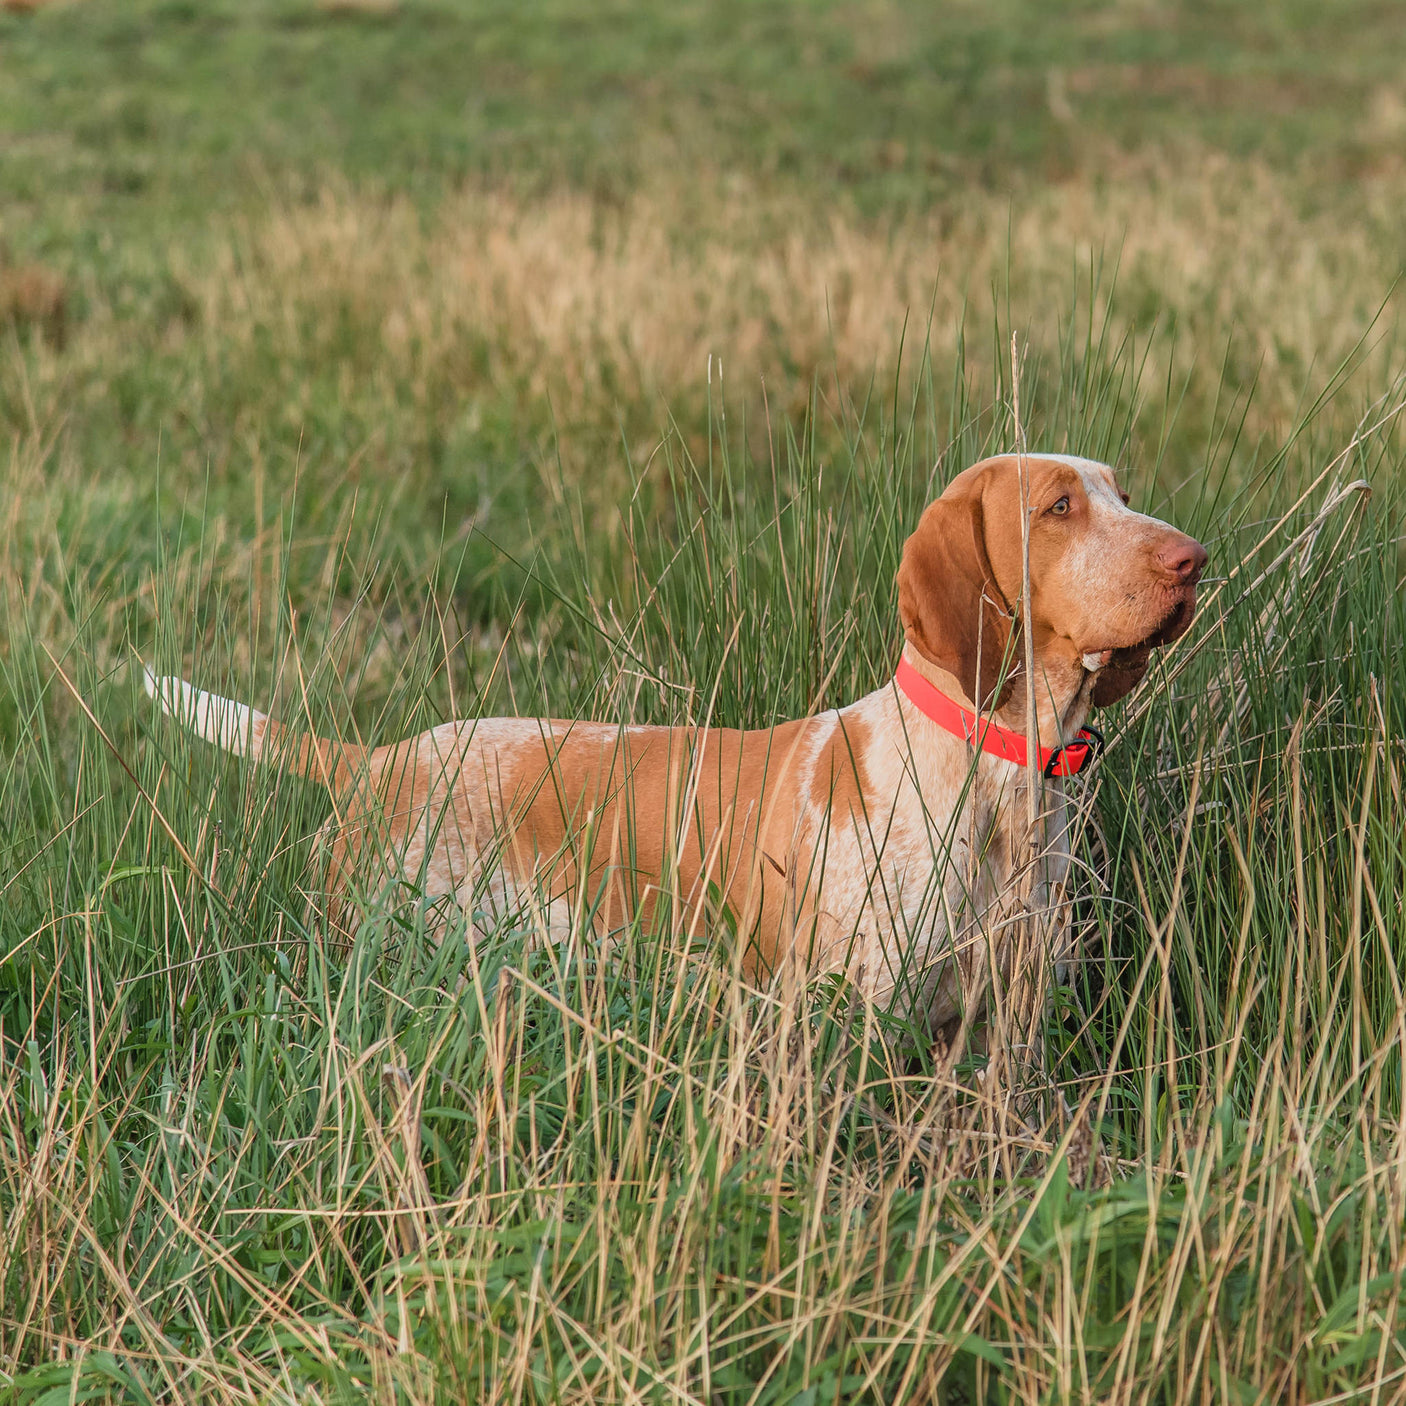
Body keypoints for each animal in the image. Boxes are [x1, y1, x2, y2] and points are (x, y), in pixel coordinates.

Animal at [151, 455, 1209, 1040]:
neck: (994, 780)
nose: (1194, 558)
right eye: (1060, 506)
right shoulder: (858, 1024)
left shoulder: (1004, 1036)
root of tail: (381, 761)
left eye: (1122, 491)